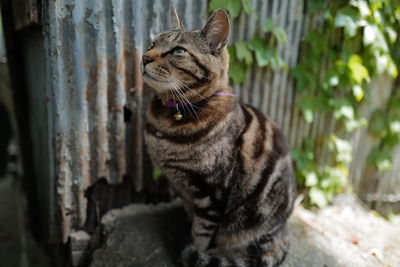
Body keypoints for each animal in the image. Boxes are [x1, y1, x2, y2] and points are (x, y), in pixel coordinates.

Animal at [142, 7, 296, 266]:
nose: (144, 57)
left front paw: (195, 252)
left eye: (178, 51)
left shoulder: (211, 193)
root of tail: (283, 234)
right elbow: (191, 219)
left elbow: (201, 234)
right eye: (152, 43)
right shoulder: (186, 193)